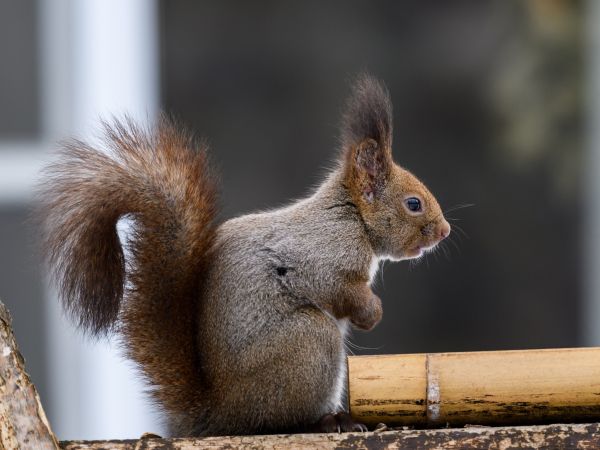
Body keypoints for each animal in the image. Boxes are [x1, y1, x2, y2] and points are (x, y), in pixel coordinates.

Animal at [37, 75, 450, 438]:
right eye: (413, 204)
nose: (445, 231)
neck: (351, 217)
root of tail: (221, 414)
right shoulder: (322, 256)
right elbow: (337, 288)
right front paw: (372, 314)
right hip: (309, 343)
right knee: (286, 419)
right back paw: (331, 421)